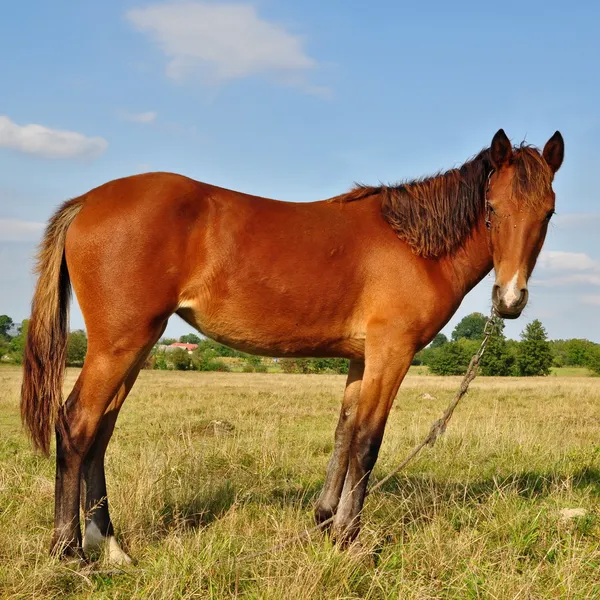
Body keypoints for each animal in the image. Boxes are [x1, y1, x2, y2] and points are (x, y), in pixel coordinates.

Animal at [18, 126, 564, 564]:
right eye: (492, 209)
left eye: (549, 214)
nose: (510, 299)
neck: (414, 244)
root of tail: (88, 201)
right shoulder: (392, 352)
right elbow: (368, 442)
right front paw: (349, 539)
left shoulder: (361, 359)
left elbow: (345, 433)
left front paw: (325, 521)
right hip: (119, 345)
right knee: (76, 425)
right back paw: (69, 551)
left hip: (136, 344)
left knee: (101, 432)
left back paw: (109, 545)